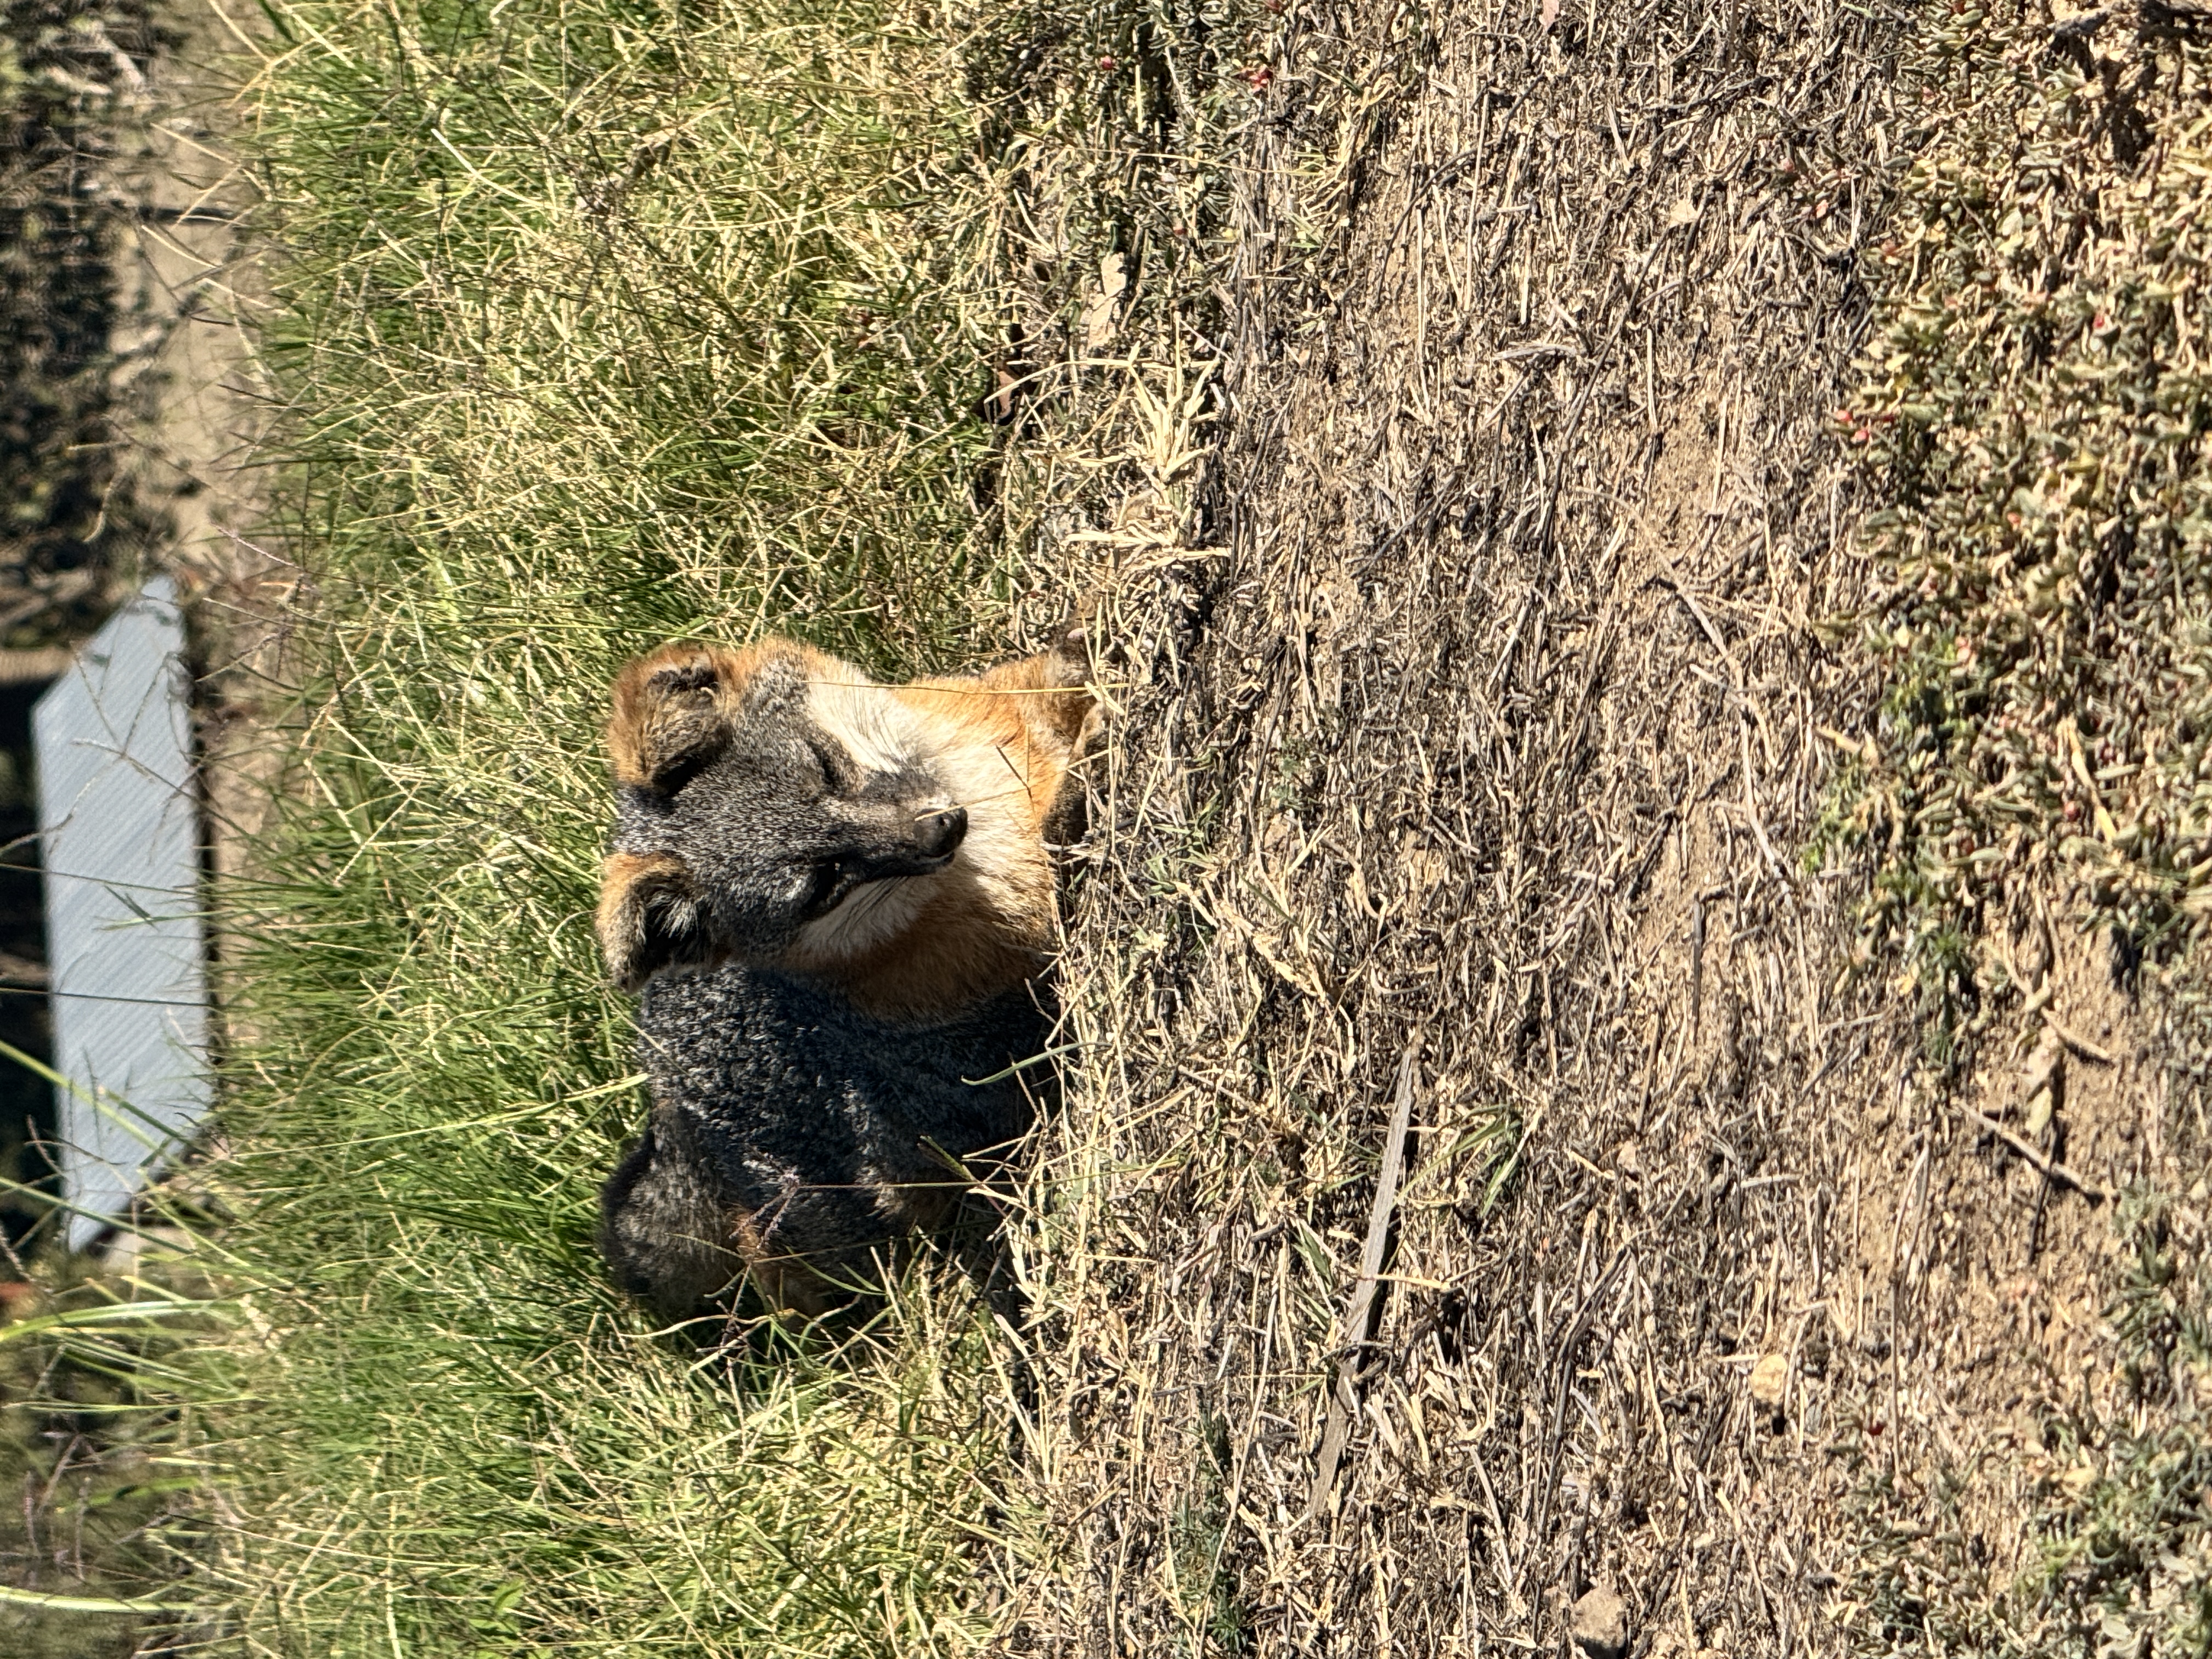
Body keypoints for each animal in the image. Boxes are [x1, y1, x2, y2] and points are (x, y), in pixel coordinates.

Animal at [593, 626, 1095, 1321]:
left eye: (824, 768)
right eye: (824, 883)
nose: (945, 828)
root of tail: (671, 1101)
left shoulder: (1006, 708)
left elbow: (1061, 675)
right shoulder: (988, 1036)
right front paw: (1078, 785)